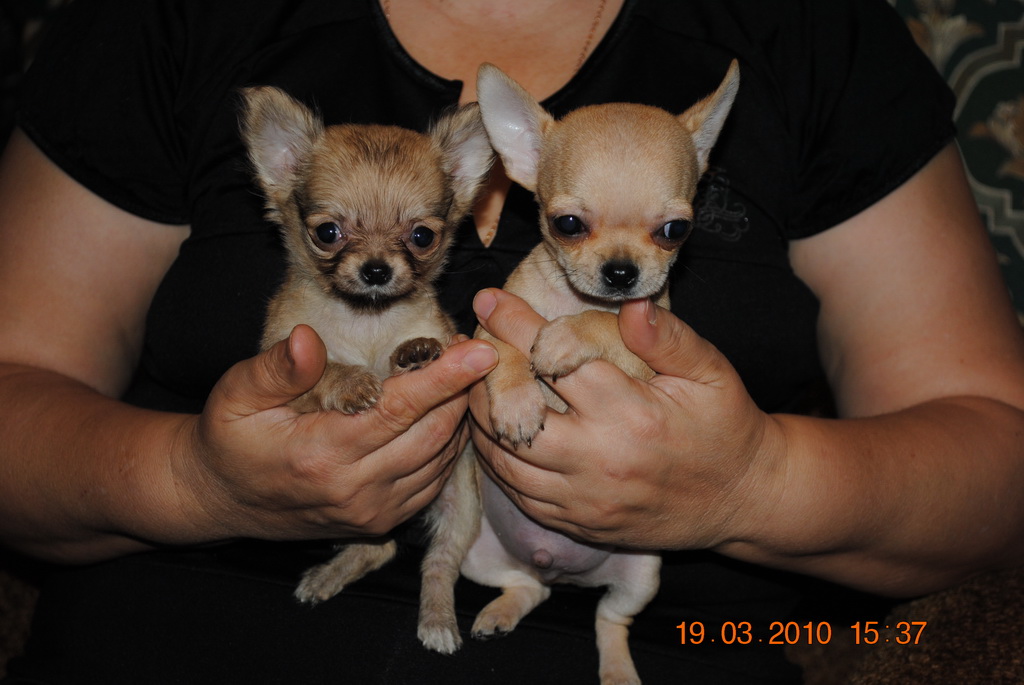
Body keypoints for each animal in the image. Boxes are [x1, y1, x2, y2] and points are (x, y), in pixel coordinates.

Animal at [239, 85, 492, 650]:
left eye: (422, 237)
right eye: (328, 232)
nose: (376, 269)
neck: (366, 319)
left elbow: (420, 348)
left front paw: (414, 353)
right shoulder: (290, 372)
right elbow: (325, 373)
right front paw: (353, 382)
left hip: (460, 505)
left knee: (436, 564)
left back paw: (437, 620)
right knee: (381, 547)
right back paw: (328, 576)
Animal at [449, 62, 741, 684]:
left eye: (676, 230)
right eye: (568, 224)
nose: (622, 272)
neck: (570, 299)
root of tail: (562, 570)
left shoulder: (645, 354)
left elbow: (604, 328)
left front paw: (563, 338)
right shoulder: (485, 328)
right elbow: (504, 351)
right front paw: (518, 402)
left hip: (642, 574)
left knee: (610, 620)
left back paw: (618, 670)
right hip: (478, 555)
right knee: (529, 587)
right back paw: (503, 611)